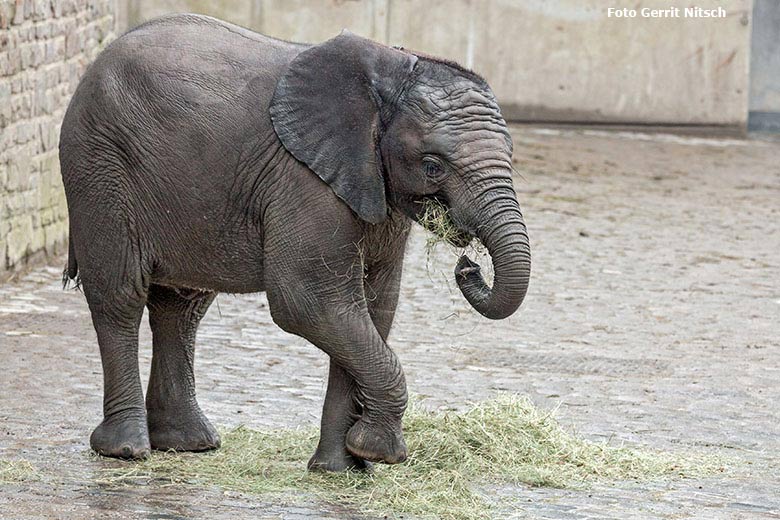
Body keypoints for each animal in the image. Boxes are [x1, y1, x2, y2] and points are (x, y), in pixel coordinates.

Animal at [61, 13, 532, 472]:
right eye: (433, 165)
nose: (467, 266)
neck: (388, 77)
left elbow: (371, 308)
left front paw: (342, 468)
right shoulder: (304, 181)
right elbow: (310, 301)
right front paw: (380, 451)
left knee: (182, 306)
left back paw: (188, 444)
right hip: (99, 166)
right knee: (120, 296)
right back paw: (125, 450)